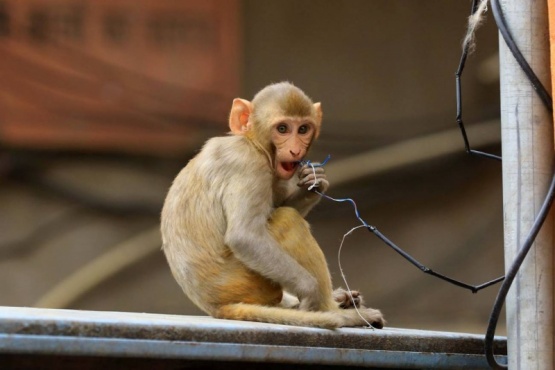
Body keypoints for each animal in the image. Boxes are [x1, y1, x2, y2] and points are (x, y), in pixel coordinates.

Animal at [163, 82, 384, 328]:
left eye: (303, 129)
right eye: (283, 129)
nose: (296, 150)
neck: (252, 142)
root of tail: (215, 307)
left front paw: (314, 181)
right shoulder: (248, 165)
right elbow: (245, 236)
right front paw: (311, 294)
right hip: (244, 283)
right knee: (286, 220)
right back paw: (335, 310)